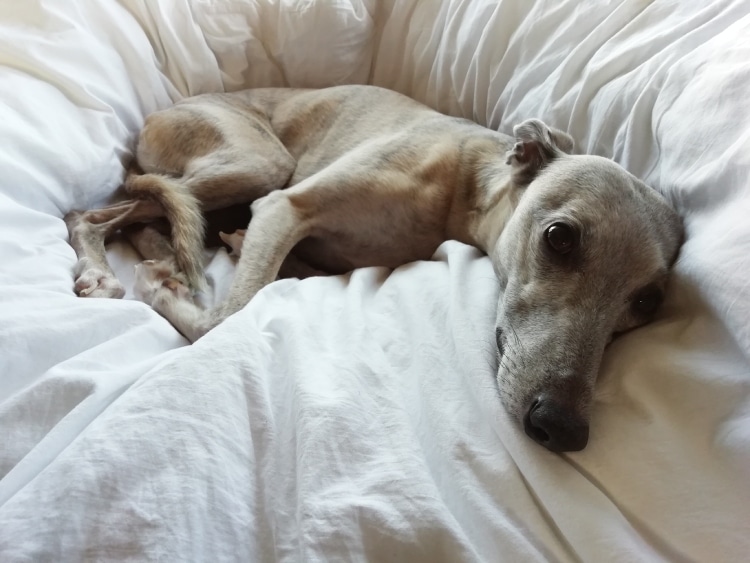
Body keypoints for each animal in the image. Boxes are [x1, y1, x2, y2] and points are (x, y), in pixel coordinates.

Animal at [66, 85, 688, 454]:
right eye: (560, 237)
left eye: (647, 302)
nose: (561, 426)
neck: (462, 187)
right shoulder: (286, 207)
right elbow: (227, 316)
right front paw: (165, 289)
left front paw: (223, 253)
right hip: (257, 161)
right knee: (95, 212)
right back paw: (107, 268)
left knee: (154, 215)